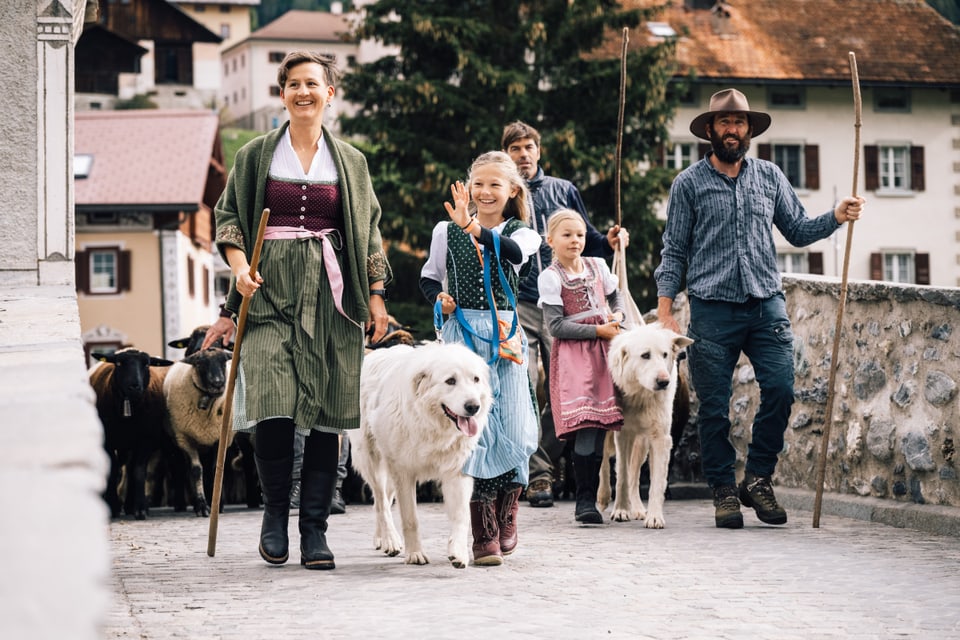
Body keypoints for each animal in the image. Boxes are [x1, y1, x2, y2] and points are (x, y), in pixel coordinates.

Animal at [90, 348, 174, 516]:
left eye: (147, 364)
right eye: (119, 363)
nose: (134, 387)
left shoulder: (146, 441)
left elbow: (138, 471)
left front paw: (140, 508)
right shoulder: (107, 441)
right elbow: (113, 470)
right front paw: (113, 506)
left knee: (129, 469)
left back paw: (130, 505)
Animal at [164, 348, 233, 516]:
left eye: (223, 361)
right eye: (200, 363)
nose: (218, 383)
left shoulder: (220, 439)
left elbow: (216, 470)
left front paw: (217, 505)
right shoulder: (185, 439)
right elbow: (196, 471)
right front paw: (202, 506)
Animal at [348, 342, 492, 568]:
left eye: (475, 379)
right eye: (450, 381)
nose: (473, 407)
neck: (431, 424)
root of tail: (372, 353)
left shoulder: (456, 470)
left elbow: (462, 515)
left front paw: (458, 553)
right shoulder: (403, 472)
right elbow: (410, 518)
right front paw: (415, 554)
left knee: (381, 502)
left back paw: (381, 539)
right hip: (373, 462)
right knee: (381, 503)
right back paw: (390, 540)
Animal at [600, 324, 688, 528]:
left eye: (664, 355)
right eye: (645, 355)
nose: (664, 382)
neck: (640, 396)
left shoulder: (661, 438)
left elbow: (656, 483)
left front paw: (654, 516)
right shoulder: (622, 435)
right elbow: (621, 476)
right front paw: (620, 511)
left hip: (641, 444)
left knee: (634, 474)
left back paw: (638, 509)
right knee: (605, 464)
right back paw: (602, 498)